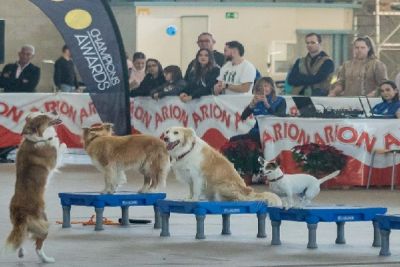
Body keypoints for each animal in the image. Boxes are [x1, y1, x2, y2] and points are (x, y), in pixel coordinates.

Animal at [5, 111, 66, 264]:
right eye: (44, 117)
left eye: (43, 111)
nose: (54, 111)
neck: (35, 140)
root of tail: (21, 214)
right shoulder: (53, 160)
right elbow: (59, 147)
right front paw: (58, 141)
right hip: (44, 223)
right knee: (38, 246)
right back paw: (47, 259)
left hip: (20, 225)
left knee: (21, 238)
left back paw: (21, 253)